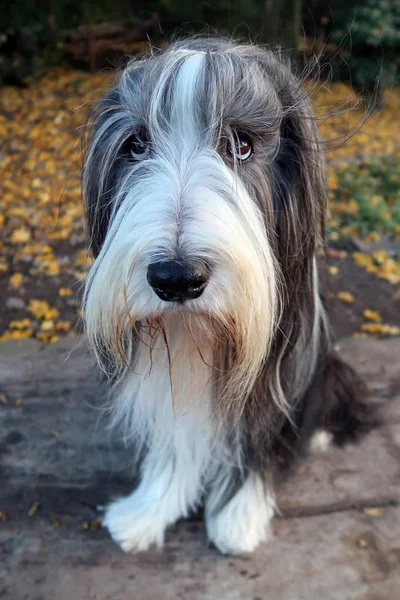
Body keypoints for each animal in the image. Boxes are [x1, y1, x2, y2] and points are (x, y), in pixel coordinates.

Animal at [82, 36, 368, 552]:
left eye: (242, 145)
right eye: (136, 145)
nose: (176, 277)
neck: (195, 332)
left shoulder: (277, 366)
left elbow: (257, 431)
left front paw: (238, 516)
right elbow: (176, 434)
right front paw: (149, 509)